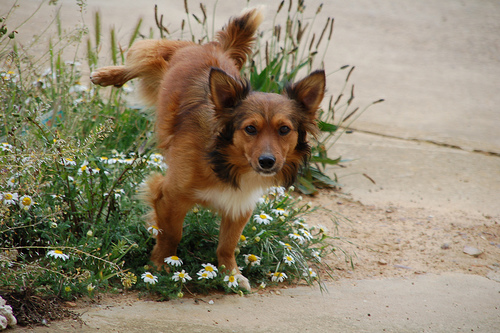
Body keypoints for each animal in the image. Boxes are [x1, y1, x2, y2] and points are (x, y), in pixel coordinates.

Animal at [89, 7, 324, 288]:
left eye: (284, 130)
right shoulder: (169, 194)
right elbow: (172, 234)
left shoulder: (239, 204)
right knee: (138, 60)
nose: (267, 162)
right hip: (158, 57)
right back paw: (106, 75)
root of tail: (213, 47)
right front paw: (160, 265)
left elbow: (227, 244)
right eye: (250, 129)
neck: (225, 160)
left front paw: (230, 274)